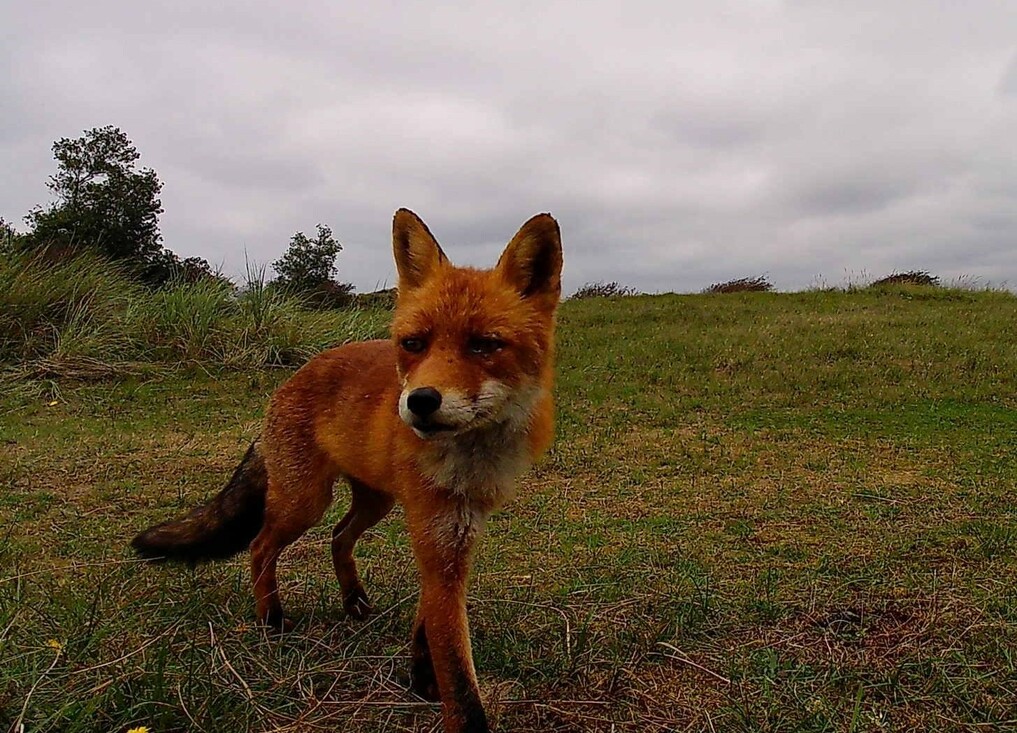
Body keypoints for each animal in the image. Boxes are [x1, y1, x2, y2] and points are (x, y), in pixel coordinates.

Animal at [129, 207, 565, 731]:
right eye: (413, 344)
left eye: (484, 345)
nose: (419, 403)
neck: (471, 460)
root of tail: (292, 377)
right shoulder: (438, 536)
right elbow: (460, 681)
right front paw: (439, 688)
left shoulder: (458, 536)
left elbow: (427, 620)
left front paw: (420, 674)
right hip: (305, 502)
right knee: (260, 546)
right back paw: (271, 619)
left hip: (377, 501)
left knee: (338, 537)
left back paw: (352, 599)